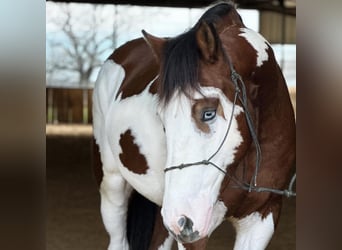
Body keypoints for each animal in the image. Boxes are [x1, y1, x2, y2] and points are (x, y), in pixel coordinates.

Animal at [92, 1, 296, 250]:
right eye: (161, 119)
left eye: (208, 113)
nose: (181, 218)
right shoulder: (194, 232)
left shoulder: (261, 218)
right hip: (115, 186)